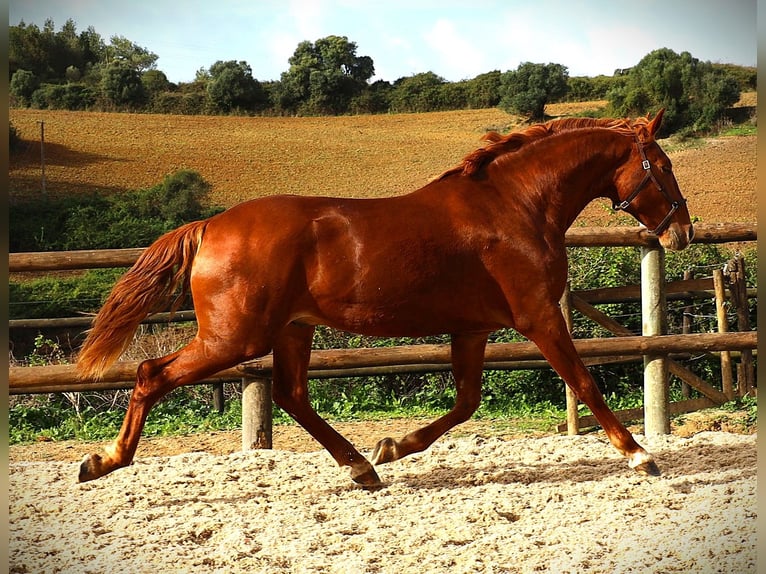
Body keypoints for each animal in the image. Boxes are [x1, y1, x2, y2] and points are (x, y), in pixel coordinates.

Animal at [78, 111, 696, 486]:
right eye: (664, 167)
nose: (682, 233)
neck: (516, 205)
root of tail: (210, 226)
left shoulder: (472, 328)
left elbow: (466, 402)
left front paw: (392, 447)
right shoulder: (538, 317)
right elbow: (585, 382)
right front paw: (641, 455)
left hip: (292, 329)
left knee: (292, 394)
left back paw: (362, 468)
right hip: (236, 337)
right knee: (152, 374)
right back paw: (102, 461)